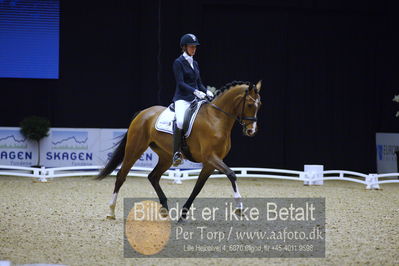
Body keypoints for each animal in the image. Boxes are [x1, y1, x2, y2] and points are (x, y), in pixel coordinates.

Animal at [97, 80, 262, 220]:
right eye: (249, 104)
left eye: (259, 105)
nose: (251, 131)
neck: (216, 118)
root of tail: (143, 113)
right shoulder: (211, 157)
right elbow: (232, 174)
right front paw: (239, 207)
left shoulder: (210, 164)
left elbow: (198, 188)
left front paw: (183, 214)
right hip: (135, 149)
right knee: (121, 175)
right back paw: (111, 211)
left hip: (165, 156)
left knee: (153, 177)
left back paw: (165, 209)